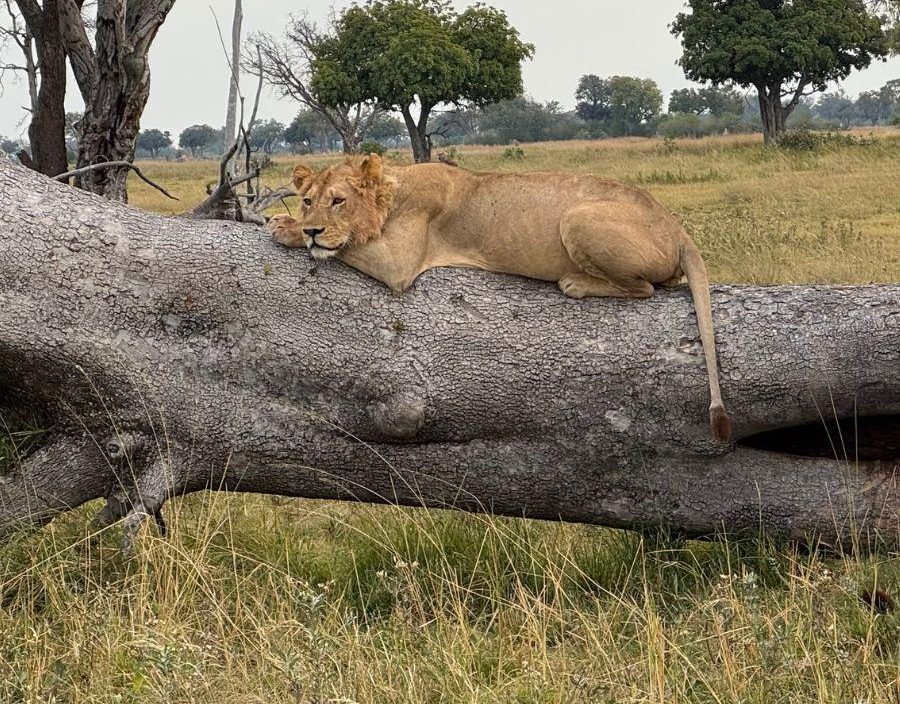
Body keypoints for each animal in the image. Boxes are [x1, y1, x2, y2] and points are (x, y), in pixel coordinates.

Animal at [268, 154, 731, 442]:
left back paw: (575, 283)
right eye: (307, 200)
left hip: (576, 216)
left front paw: (286, 229)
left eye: (338, 201)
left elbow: (348, 246)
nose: (312, 229)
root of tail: (676, 227)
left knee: (648, 288)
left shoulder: (399, 263)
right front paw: (292, 226)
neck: (394, 189)